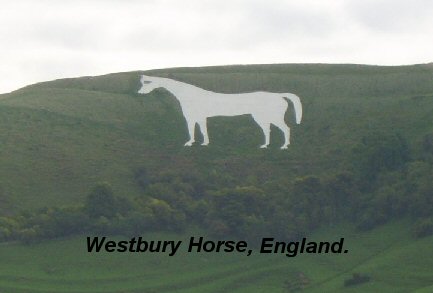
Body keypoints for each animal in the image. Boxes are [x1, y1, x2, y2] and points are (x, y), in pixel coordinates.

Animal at [138, 74, 300, 149]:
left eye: (146, 83)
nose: (139, 92)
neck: (187, 94)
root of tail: (279, 95)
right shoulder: (199, 117)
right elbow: (201, 130)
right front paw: (203, 143)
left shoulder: (192, 117)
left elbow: (194, 130)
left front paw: (191, 143)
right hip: (261, 117)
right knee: (268, 130)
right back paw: (265, 146)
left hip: (273, 117)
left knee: (286, 128)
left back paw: (284, 146)